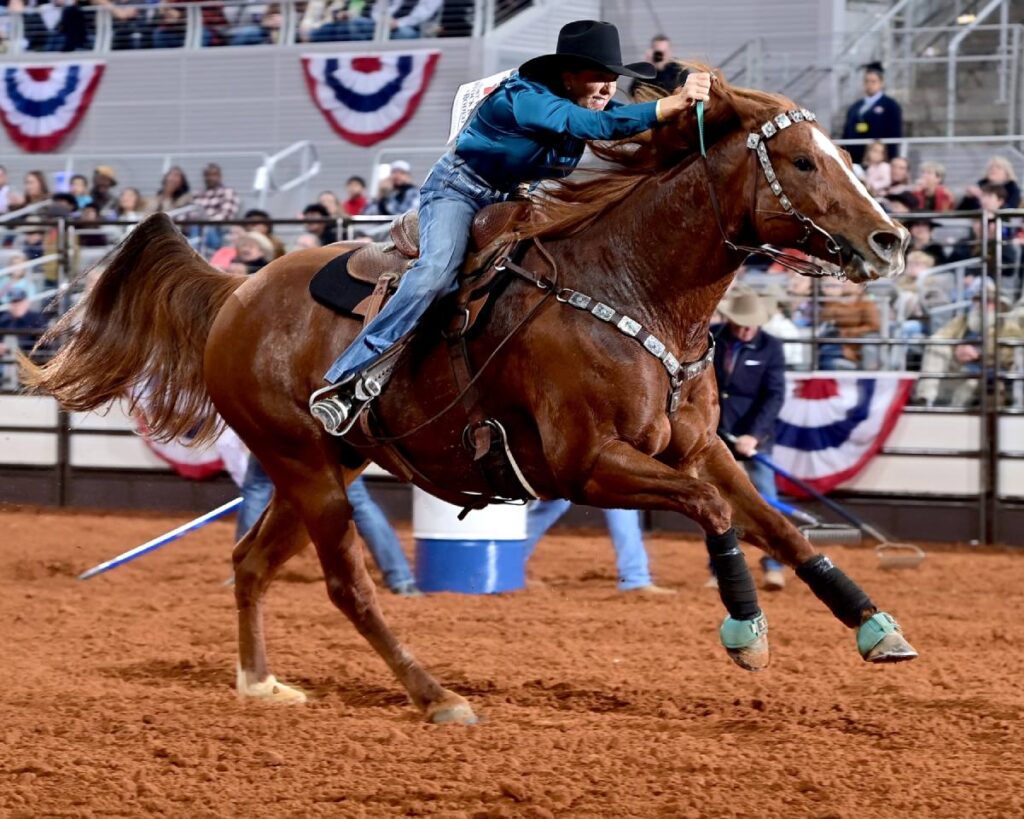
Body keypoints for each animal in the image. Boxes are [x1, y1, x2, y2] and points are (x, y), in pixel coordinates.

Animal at [25, 70, 921, 724]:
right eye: (803, 161)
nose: (893, 238)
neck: (631, 285)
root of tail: (234, 293)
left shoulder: (697, 447)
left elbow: (779, 525)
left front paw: (877, 626)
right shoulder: (586, 463)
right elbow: (713, 511)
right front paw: (746, 633)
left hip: (324, 467)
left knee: (250, 560)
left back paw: (260, 683)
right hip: (306, 465)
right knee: (347, 586)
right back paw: (437, 695)